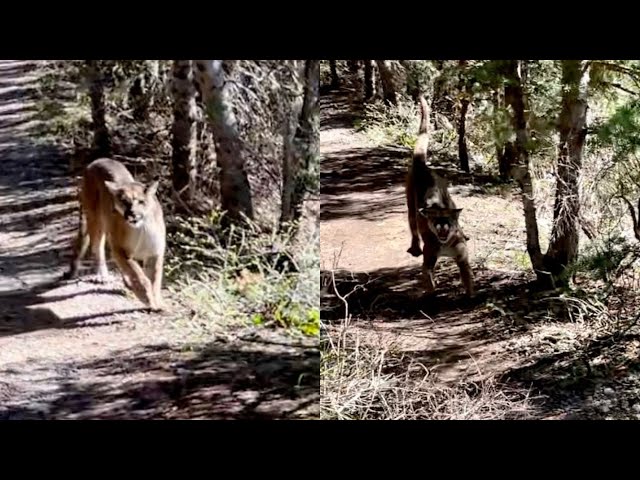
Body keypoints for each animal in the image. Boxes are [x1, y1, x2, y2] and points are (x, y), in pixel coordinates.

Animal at [63, 158, 165, 312]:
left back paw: (127, 283)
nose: (132, 214)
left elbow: (155, 279)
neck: (141, 228)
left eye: (141, 201)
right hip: (96, 220)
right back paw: (103, 276)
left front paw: (157, 303)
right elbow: (138, 274)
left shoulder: (155, 252)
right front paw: (146, 297)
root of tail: (94, 162)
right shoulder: (119, 248)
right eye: (123, 201)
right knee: (97, 247)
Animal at [408, 96, 472, 296]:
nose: (443, 225)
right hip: (410, 204)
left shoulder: (462, 257)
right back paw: (415, 247)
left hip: (450, 198)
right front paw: (431, 291)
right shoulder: (429, 257)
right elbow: (427, 275)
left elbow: (467, 277)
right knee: (412, 225)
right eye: (436, 220)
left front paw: (470, 294)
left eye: (447, 221)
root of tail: (422, 167)